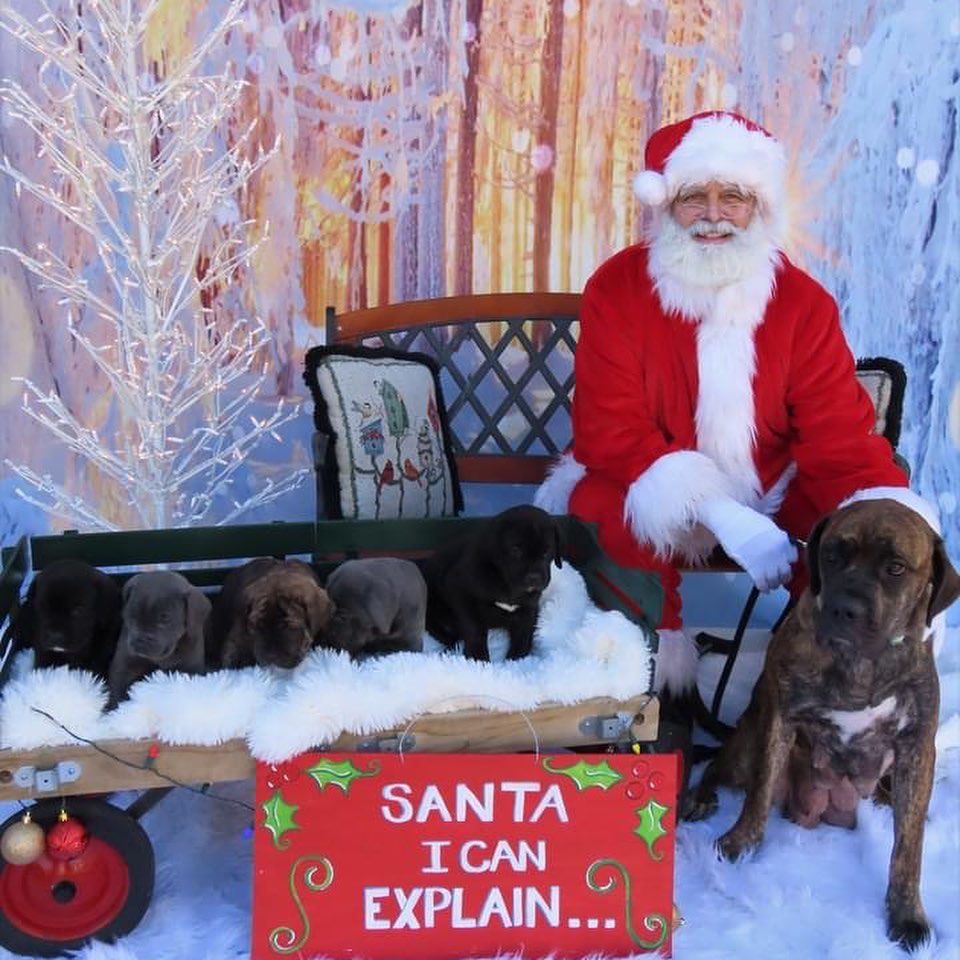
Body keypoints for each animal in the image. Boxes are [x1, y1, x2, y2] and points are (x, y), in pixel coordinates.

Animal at [109, 568, 213, 704]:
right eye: (131, 615)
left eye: (165, 619)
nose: (140, 640)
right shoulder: (125, 665)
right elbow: (118, 689)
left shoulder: (190, 667)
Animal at [420, 502, 564, 660]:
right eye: (515, 550)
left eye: (547, 550)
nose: (534, 577)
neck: (506, 582)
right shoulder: (461, 593)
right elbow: (474, 629)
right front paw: (477, 658)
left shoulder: (528, 608)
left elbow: (523, 635)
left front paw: (517, 660)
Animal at [684, 498, 960, 948]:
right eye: (832, 555)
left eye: (896, 567)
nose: (845, 608)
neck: (861, 662)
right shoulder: (780, 717)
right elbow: (759, 793)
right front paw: (739, 843)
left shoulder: (917, 744)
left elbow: (908, 845)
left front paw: (906, 915)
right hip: (747, 740)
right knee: (719, 767)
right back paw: (700, 797)